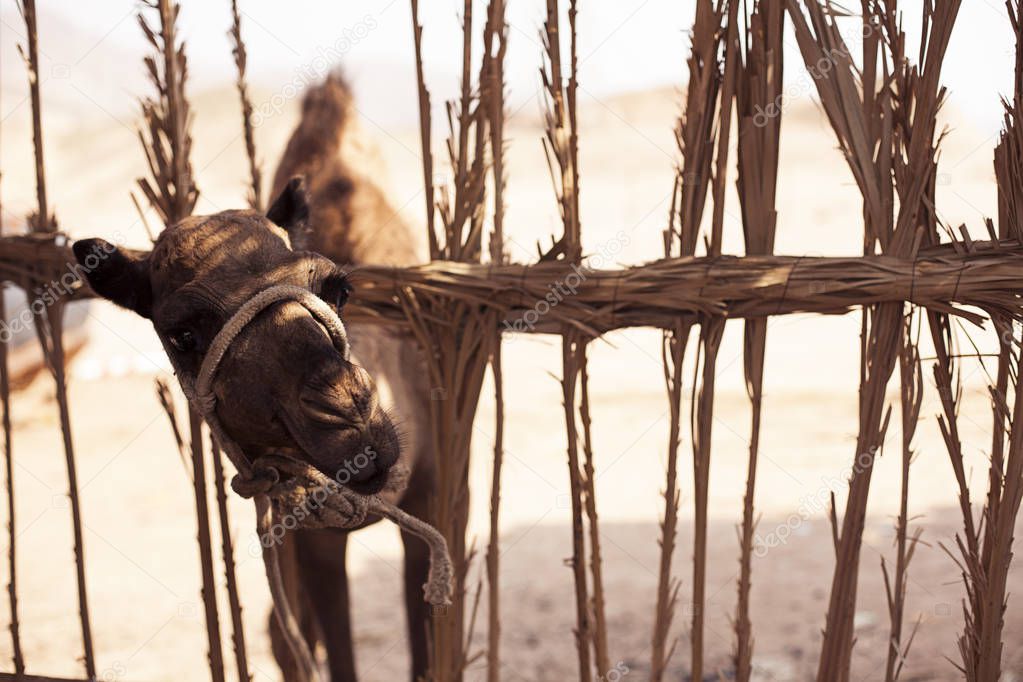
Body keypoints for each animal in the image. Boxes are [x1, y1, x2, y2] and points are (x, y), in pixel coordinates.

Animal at [71, 72, 431, 678]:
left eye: (337, 288)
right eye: (182, 334)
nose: (352, 420)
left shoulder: (441, 480)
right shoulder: (313, 530)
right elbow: (333, 646)